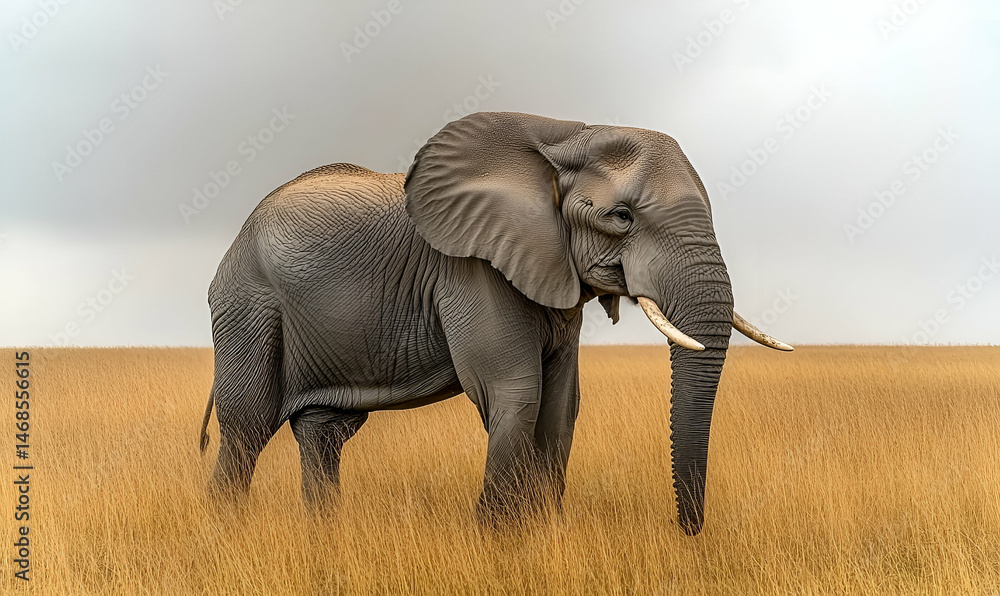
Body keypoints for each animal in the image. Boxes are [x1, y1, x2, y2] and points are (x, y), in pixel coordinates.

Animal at [198, 111, 792, 535]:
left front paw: (540, 533)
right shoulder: (471, 268)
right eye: (621, 217)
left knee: (325, 432)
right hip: (249, 304)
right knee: (247, 428)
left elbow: (561, 404)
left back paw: (324, 534)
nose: (684, 531)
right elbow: (516, 390)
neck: (566, 134)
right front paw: (494, 539)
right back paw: (226, 531)